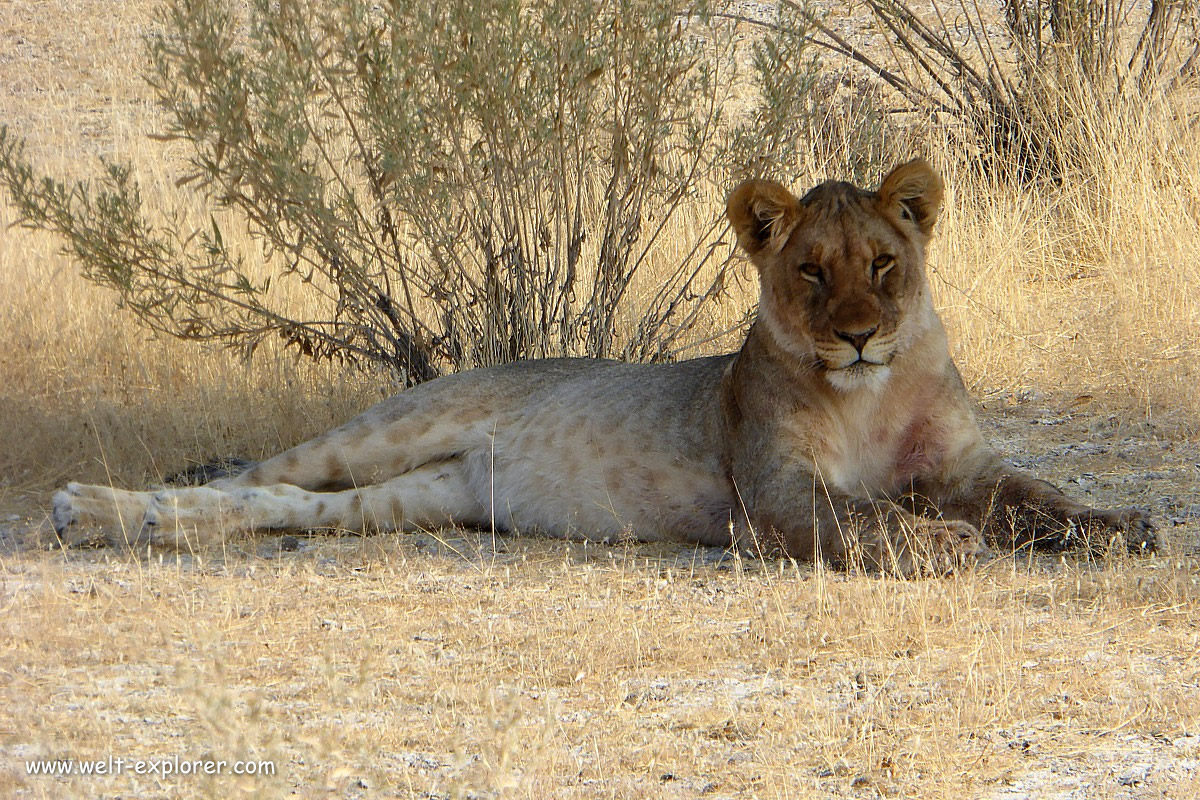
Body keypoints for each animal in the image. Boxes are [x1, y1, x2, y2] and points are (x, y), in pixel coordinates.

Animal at [54, 159, 1152, 573]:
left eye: (884, 265)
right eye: (810, 270)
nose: (856, 335)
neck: (873, 393)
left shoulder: (966, 466)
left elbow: (1037, 491)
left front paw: (1117, 525)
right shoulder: (770, 494)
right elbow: (863, 517)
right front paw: (935, 543)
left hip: (410, 498)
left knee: (267, 506)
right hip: (385, 429)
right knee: (248, 475)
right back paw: (89, 507)